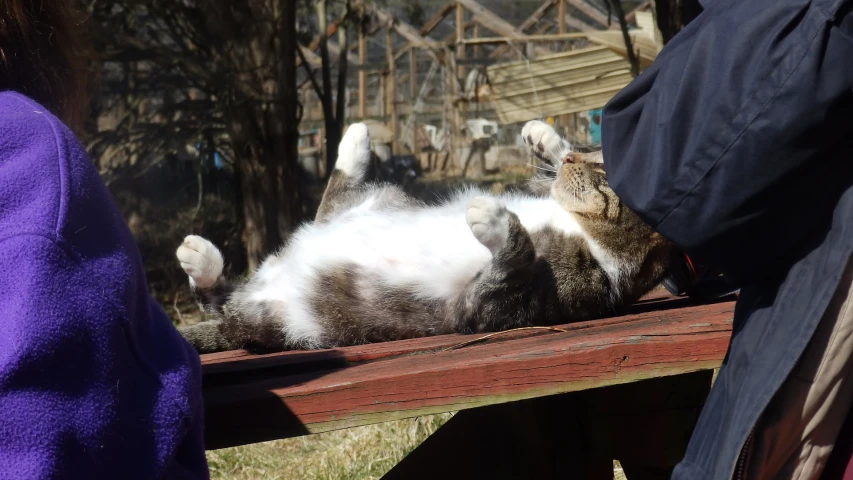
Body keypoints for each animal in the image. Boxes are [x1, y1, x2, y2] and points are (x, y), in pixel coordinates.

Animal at [176, 120, 676, 352]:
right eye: (594, 154)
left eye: (607, 176)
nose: (575, 157)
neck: (582, 232)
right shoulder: (544, 192)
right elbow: (546, 177)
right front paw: (545, 137)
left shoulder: (487, 310)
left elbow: (511, 258)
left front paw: (495, 217)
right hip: (379, 199)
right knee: (331, 200)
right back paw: (355, 140)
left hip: (278, 323)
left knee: (222, 303)